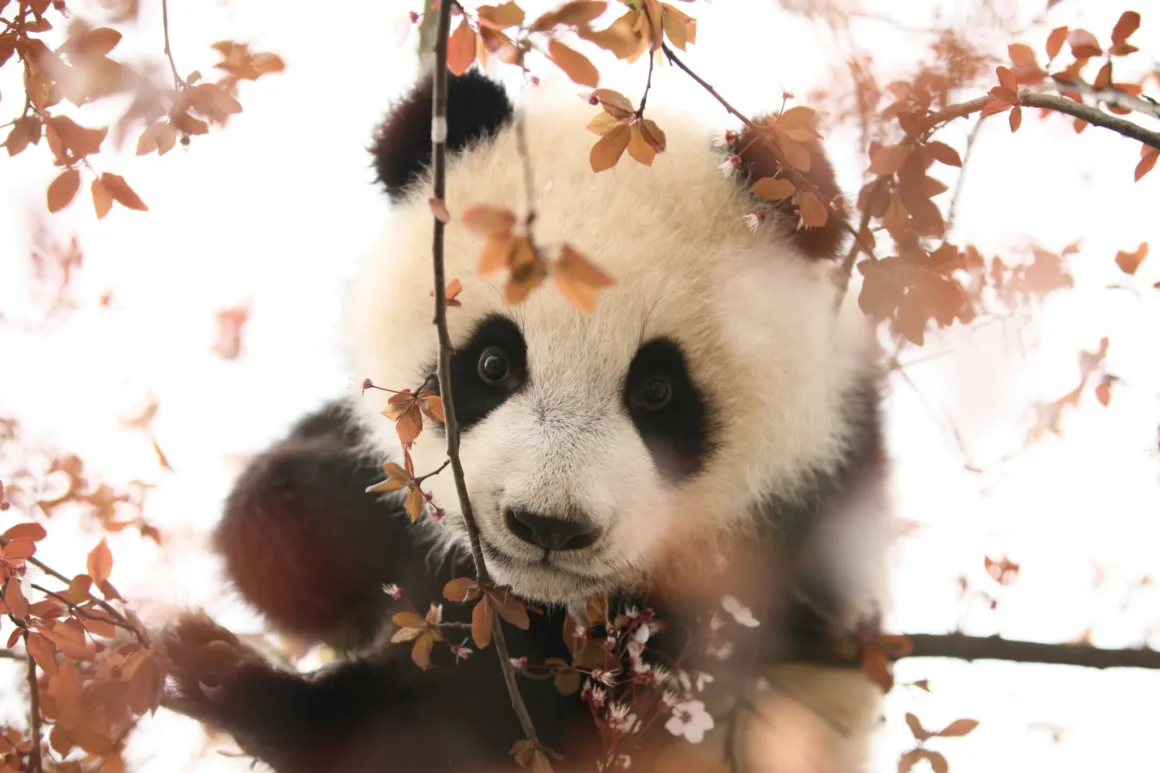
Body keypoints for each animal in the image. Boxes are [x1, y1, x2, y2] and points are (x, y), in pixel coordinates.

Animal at [160, 64, 894, 773]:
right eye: (494, 362)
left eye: (658, 390)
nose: (549, 525)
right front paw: (308, 531)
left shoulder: (774, 549)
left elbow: (458, 726)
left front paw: (229, 676)